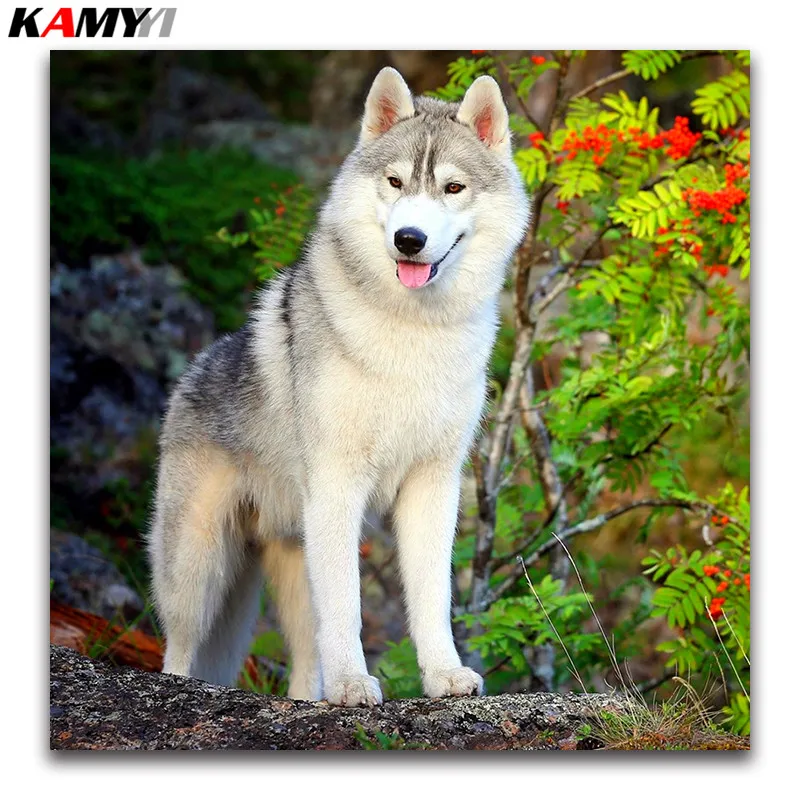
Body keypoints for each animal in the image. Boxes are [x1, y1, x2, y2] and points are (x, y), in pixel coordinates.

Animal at [147, 67, 530, 706]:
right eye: (396, 181)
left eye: (452, 188)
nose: (408, 239)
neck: (412, 337)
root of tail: (195, 368)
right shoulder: (337, 485)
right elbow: (349, 608)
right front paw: (354, 684)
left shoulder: (434, 486)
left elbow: (432, 599)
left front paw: (444, 676)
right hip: (199, 572)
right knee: (179, 652)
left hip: (290, 567)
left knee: (305, 666)